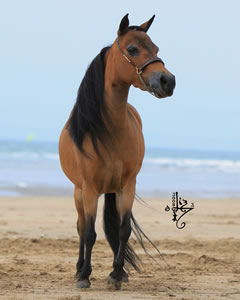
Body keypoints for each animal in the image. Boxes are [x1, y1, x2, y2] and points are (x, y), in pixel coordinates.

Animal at [58, 14, 174, 290]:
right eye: (132, 49)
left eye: (156, 49)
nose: (168, 81)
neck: (108, 130)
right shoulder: (90, 189)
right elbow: (90, 233)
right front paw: (85, 276)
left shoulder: (127, 186)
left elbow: (123, 231)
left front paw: (117, 274)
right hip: (79, 192)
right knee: (81, 228)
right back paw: (79, 269)